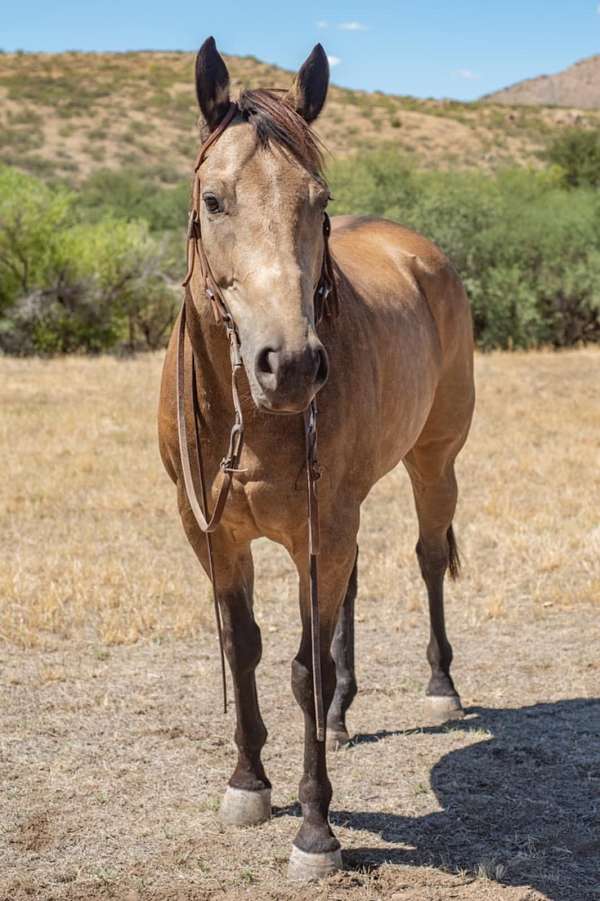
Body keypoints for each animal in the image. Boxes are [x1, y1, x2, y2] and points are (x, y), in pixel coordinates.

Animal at [157, 38, 476, 884]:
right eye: (214, 200)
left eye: (318, 199)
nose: (292, 364)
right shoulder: (215, 534)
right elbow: (244, 647)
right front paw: (247, 783)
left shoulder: (319, 528)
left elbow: (303, 668)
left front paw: (315, 829)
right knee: (355, 589)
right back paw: (340, 718)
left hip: (432, 462)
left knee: (427, 557)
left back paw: (439, 686)